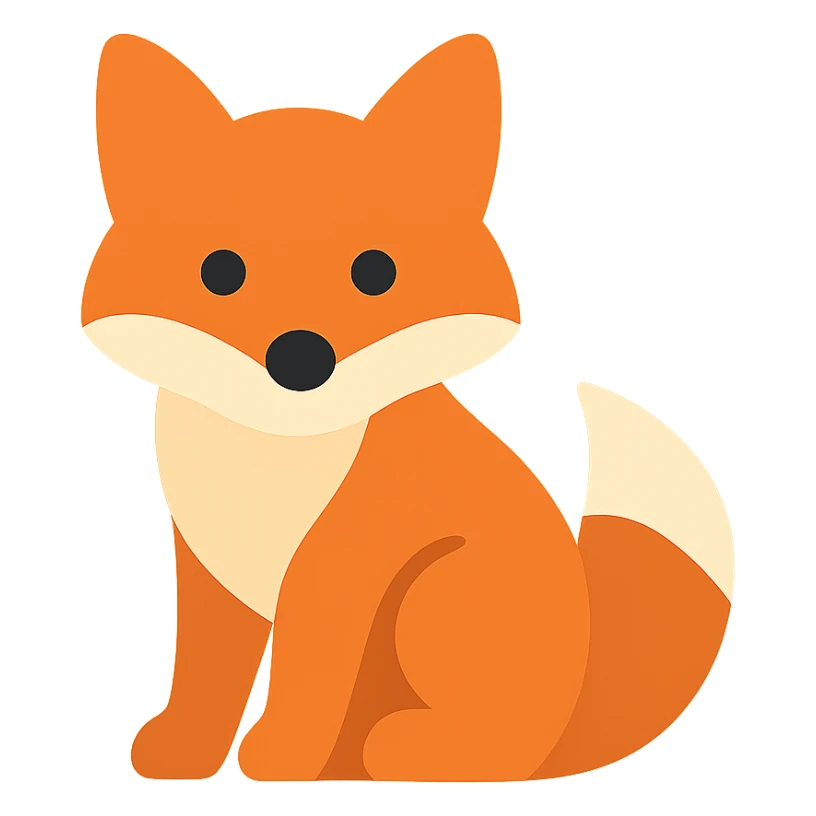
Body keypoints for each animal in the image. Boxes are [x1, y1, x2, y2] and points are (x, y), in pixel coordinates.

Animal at [82, 33, 734, 782]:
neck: (278, 459)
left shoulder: (341, 566)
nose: (300, 358)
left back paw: (400, 748)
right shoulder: (206, 564)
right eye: (219, 272)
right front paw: (183, 753)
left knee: (489, 749)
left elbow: (306, 677)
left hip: (439, 589)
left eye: (376, 273)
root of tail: (569, 725)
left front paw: (279, 756)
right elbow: (202, 673)